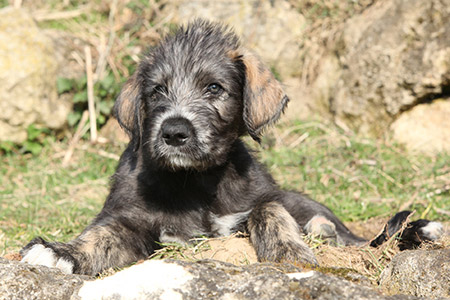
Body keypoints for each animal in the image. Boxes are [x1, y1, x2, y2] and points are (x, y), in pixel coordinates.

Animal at [21, 19, 442, 276]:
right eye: (156, 91)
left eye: (214, 88)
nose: (174, 132)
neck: (195, 181)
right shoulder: (130, 220)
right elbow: (100, 236)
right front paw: (61, 252)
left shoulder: (262, 198)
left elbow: (270, 211)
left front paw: (289, 251)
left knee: (357, 239)